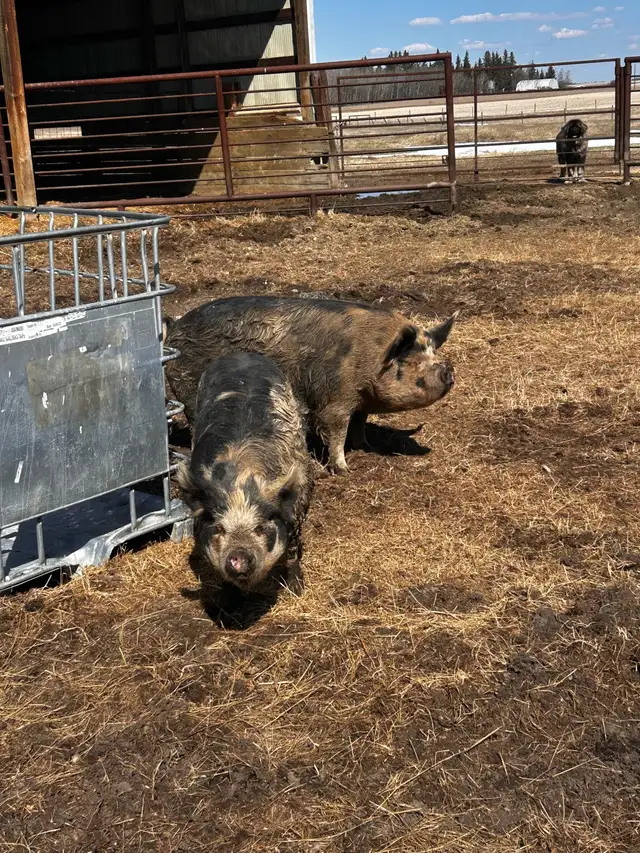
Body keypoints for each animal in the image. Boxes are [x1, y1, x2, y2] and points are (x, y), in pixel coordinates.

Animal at [164, 295, 457, 474]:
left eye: (433, 352)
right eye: (410, 360)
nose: (449, 369)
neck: (370, 357)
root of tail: (173, 330)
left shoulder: (359, 402)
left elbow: (360, 422)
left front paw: (367, 448)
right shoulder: (334, 398)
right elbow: (336, 431)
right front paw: (344, 470)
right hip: (189, 390)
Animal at [175, 351, 313, 601]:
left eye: (260, 527)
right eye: (220, 528)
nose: (238, 556)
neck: (240, 478)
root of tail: (240, 354)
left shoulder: (297, 505)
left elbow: (292, 548)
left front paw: (296, 591)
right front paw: (229, 601)